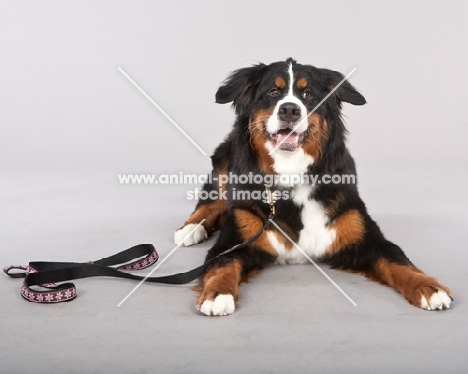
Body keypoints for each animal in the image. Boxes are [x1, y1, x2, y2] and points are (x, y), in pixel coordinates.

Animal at [174, 57, 452, 316]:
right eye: (272, 92)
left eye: (308, 95)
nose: (289, 110)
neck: (291, 174)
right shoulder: (234, 239)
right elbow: (222, 264)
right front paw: (217, 294)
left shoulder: (367, 237)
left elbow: (397, 260)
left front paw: (429, 287)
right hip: (224, 159)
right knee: (211, 200)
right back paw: (190, 229)